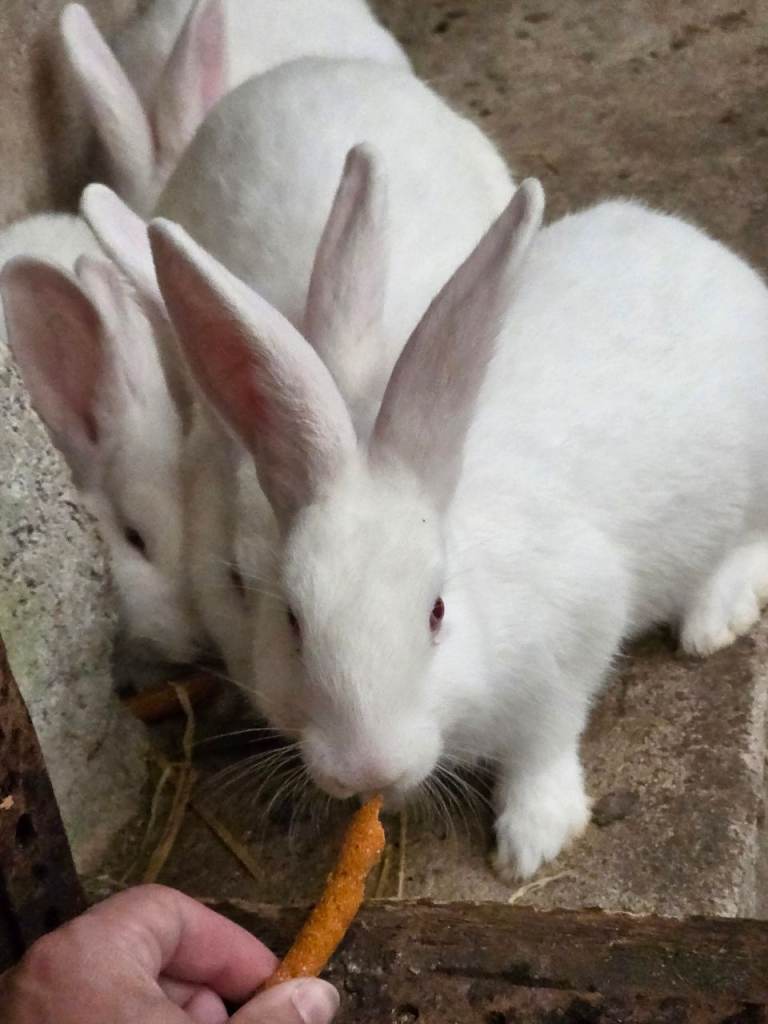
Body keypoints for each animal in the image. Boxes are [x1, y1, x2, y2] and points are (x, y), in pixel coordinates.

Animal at [145, 172, 768, 881]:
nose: (369, 767)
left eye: (437, 612)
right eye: (292, 622)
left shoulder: (577, 637)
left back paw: (713, 620)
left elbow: (544, 742)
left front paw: (531, 839)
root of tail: (707, 252)